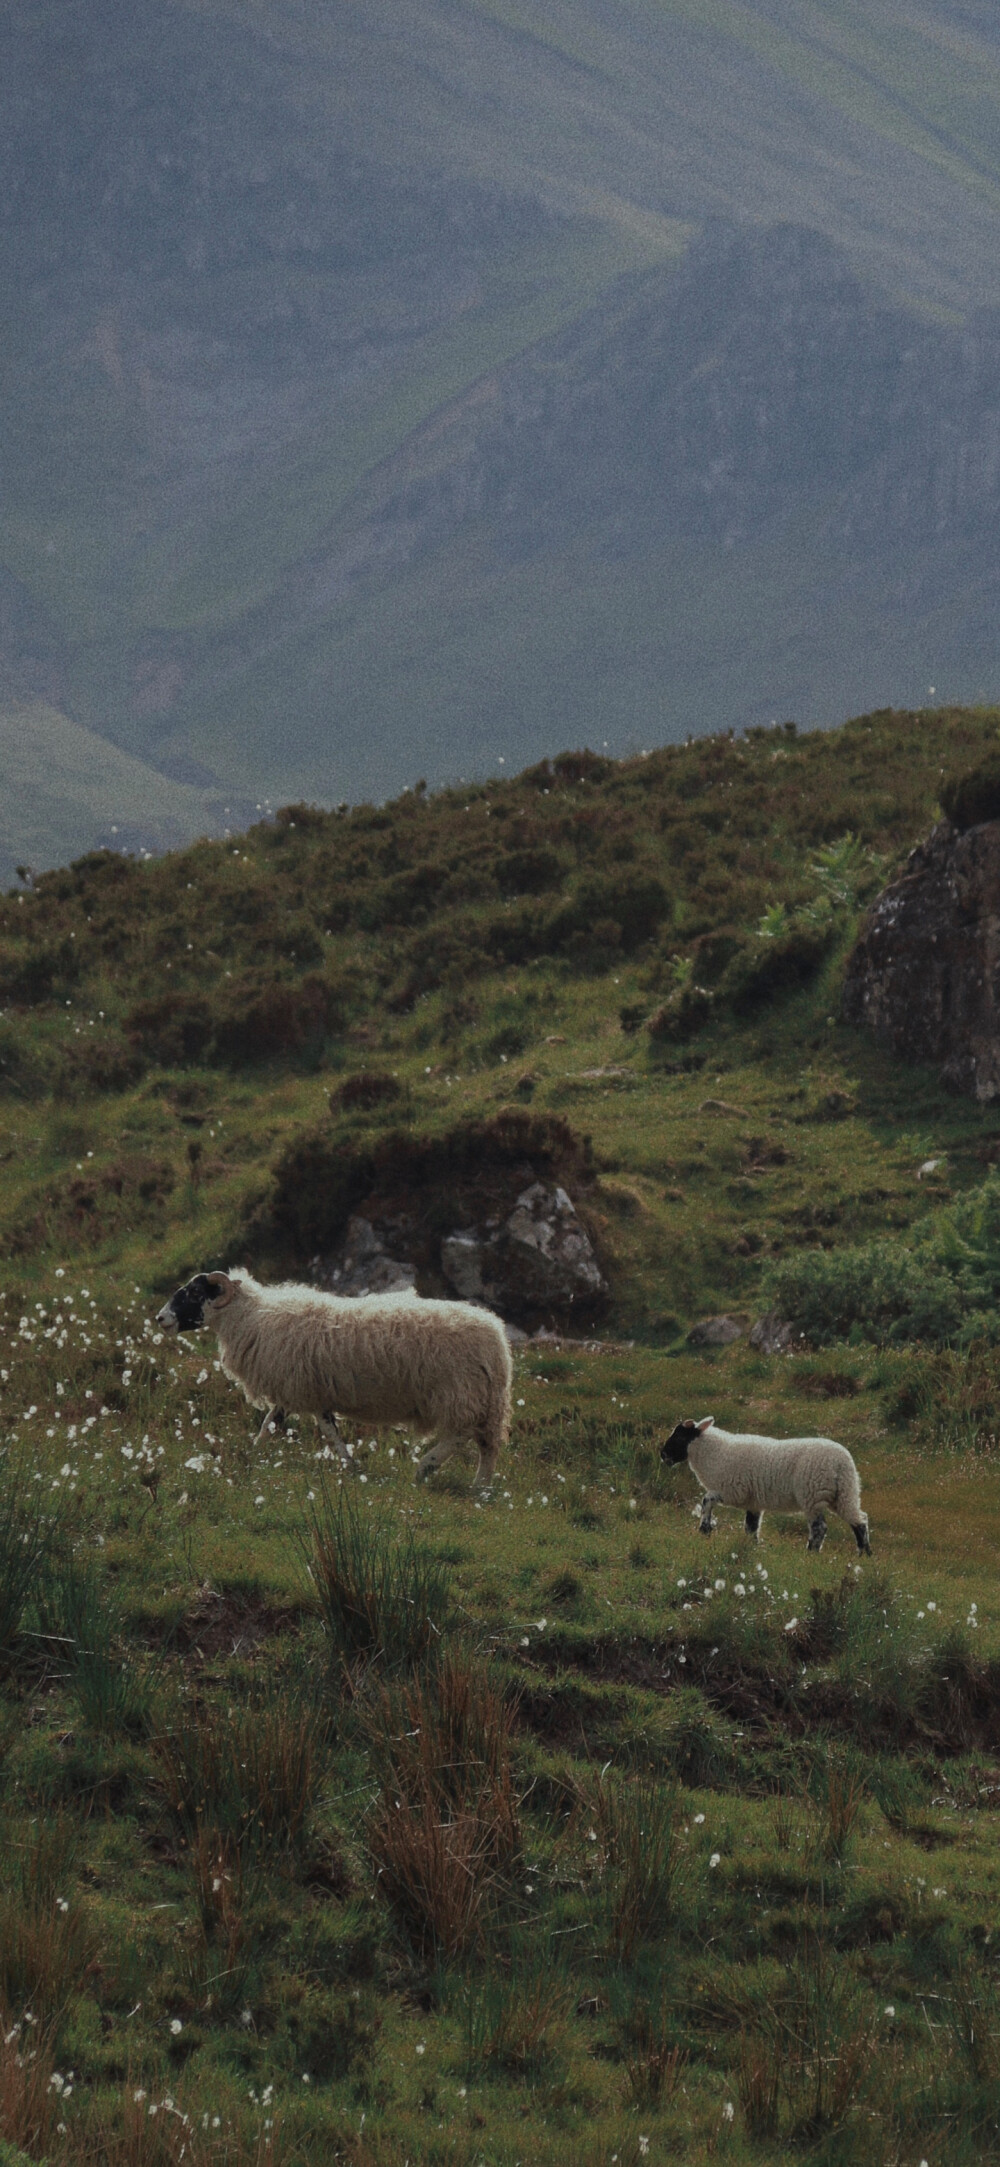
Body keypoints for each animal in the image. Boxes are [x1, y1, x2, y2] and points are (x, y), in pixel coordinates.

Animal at [158, 1265, 514, 1490]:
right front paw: (252, 1456)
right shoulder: (300, 1391)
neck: (251, 1318)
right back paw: (480, 1486)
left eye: (194, 1292)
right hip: (482, 1398)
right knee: (487, 1444)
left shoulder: (303, 1389)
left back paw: (426, 1467)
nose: (161, 1318)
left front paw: (349, 1466)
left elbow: (324, 1431)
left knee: (464, 1433)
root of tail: (497, 1339)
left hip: (459, 1392)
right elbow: (273, 1425)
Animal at [663, 1412, 863, 1551]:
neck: (715, 1453)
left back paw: (811, 1553)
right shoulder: (753, 1503)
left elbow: (706, 1500)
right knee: (859, 1521)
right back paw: (863, 1555)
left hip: (813, 1495)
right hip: (844, 1493)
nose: (662, 1455)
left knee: (819, 1528)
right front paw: (751, 1547)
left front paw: (704, 1528)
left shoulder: (733, 1491)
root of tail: (842, 1463)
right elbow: (751, 1528)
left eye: (680, 1436)